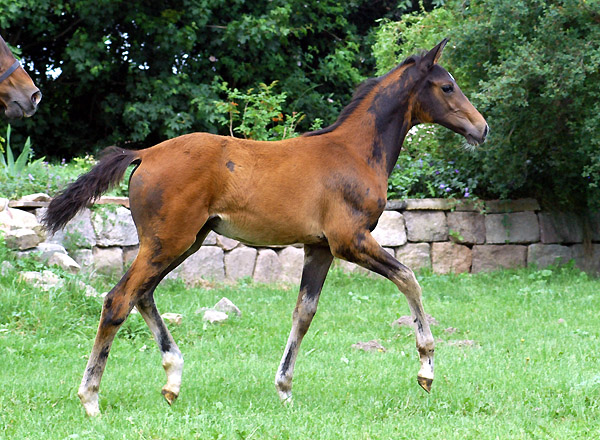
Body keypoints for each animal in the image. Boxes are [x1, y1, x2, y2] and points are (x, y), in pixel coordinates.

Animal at [45, 38, 488, 416]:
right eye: (447, 86)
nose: (482, 128)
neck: (354, 152)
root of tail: (145, 153)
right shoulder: (350, 241)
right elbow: (409, 278)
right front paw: (426, 369)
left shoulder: (319, 247)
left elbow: (304, 312)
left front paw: (284, 388)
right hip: (168, 242)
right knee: (118, 300)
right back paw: (91, 397)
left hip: (183, 242)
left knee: (142, 295)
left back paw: (172, 381)